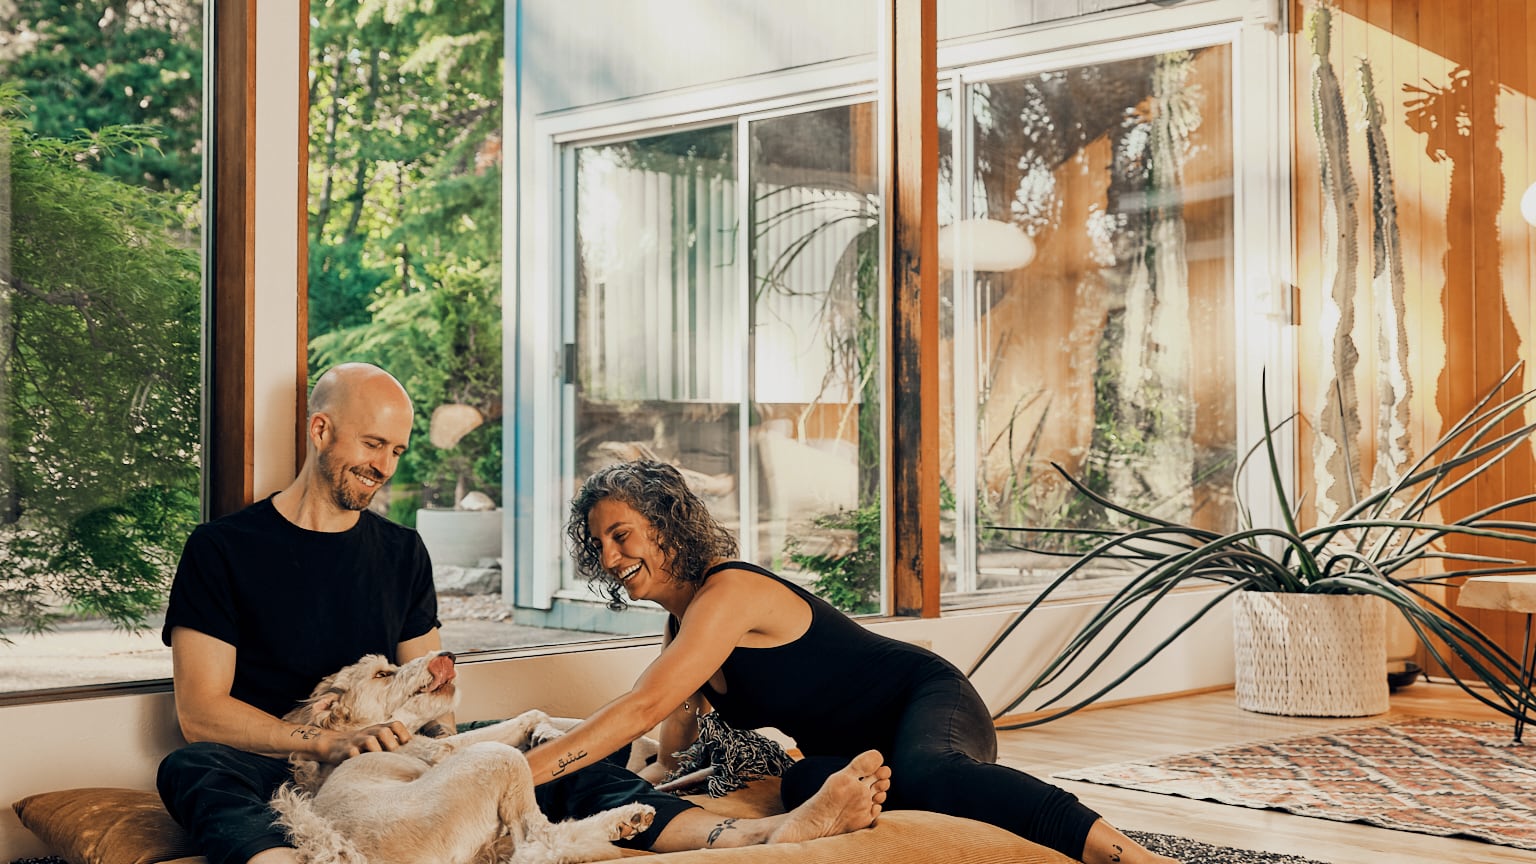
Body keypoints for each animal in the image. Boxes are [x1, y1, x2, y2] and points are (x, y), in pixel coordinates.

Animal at [270, 651, 655, 864]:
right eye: (382, 674)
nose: (449, 656)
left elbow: (544, 717)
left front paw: (548, 732)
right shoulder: (444, 751)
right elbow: (528, 714)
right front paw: (547, 731)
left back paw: (628, 819)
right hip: (496, 759)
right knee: (539, 845)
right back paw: (620, 820)